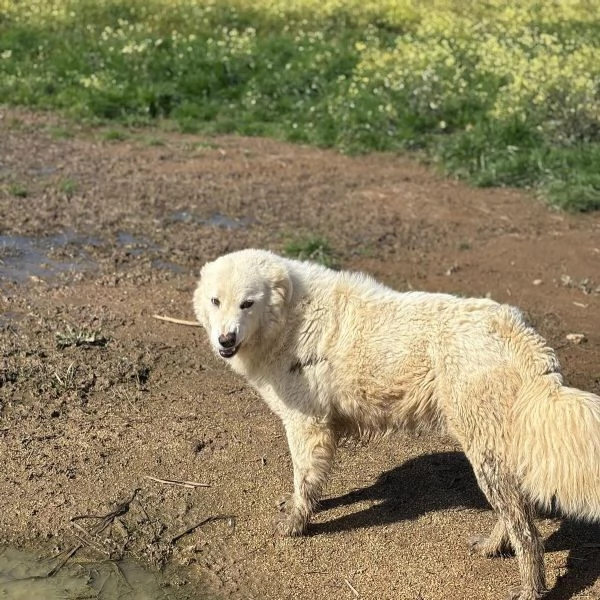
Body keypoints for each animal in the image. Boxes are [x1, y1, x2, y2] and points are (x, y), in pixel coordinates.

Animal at [193, 248, 600, 600]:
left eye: (247, 303)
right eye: (215, 301)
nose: (225, 339)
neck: (292, 316)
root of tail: (521, 334)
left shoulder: (307, 425)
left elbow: (303, 480)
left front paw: (296, 523)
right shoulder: (323, 429)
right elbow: (316, 481)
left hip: (484, 453)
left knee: (526, 532)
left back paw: (531, 588)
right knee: (518, 514)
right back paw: (491, 547)